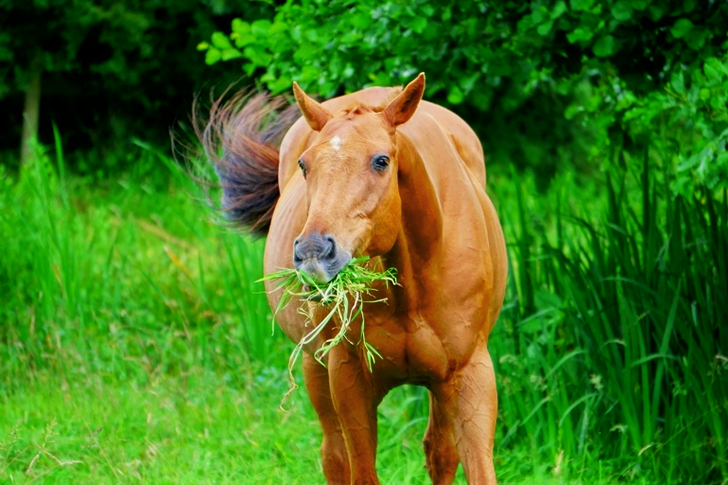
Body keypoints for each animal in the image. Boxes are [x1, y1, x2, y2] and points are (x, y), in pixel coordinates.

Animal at [202, 73, 508, 484]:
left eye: (381, 161)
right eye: (304, 164)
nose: (313, 252)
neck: (412, 287)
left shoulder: (469, 377)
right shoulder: (349, 381)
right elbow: (359, 469)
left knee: (439, 452)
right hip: (315, 368)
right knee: (333, 455)